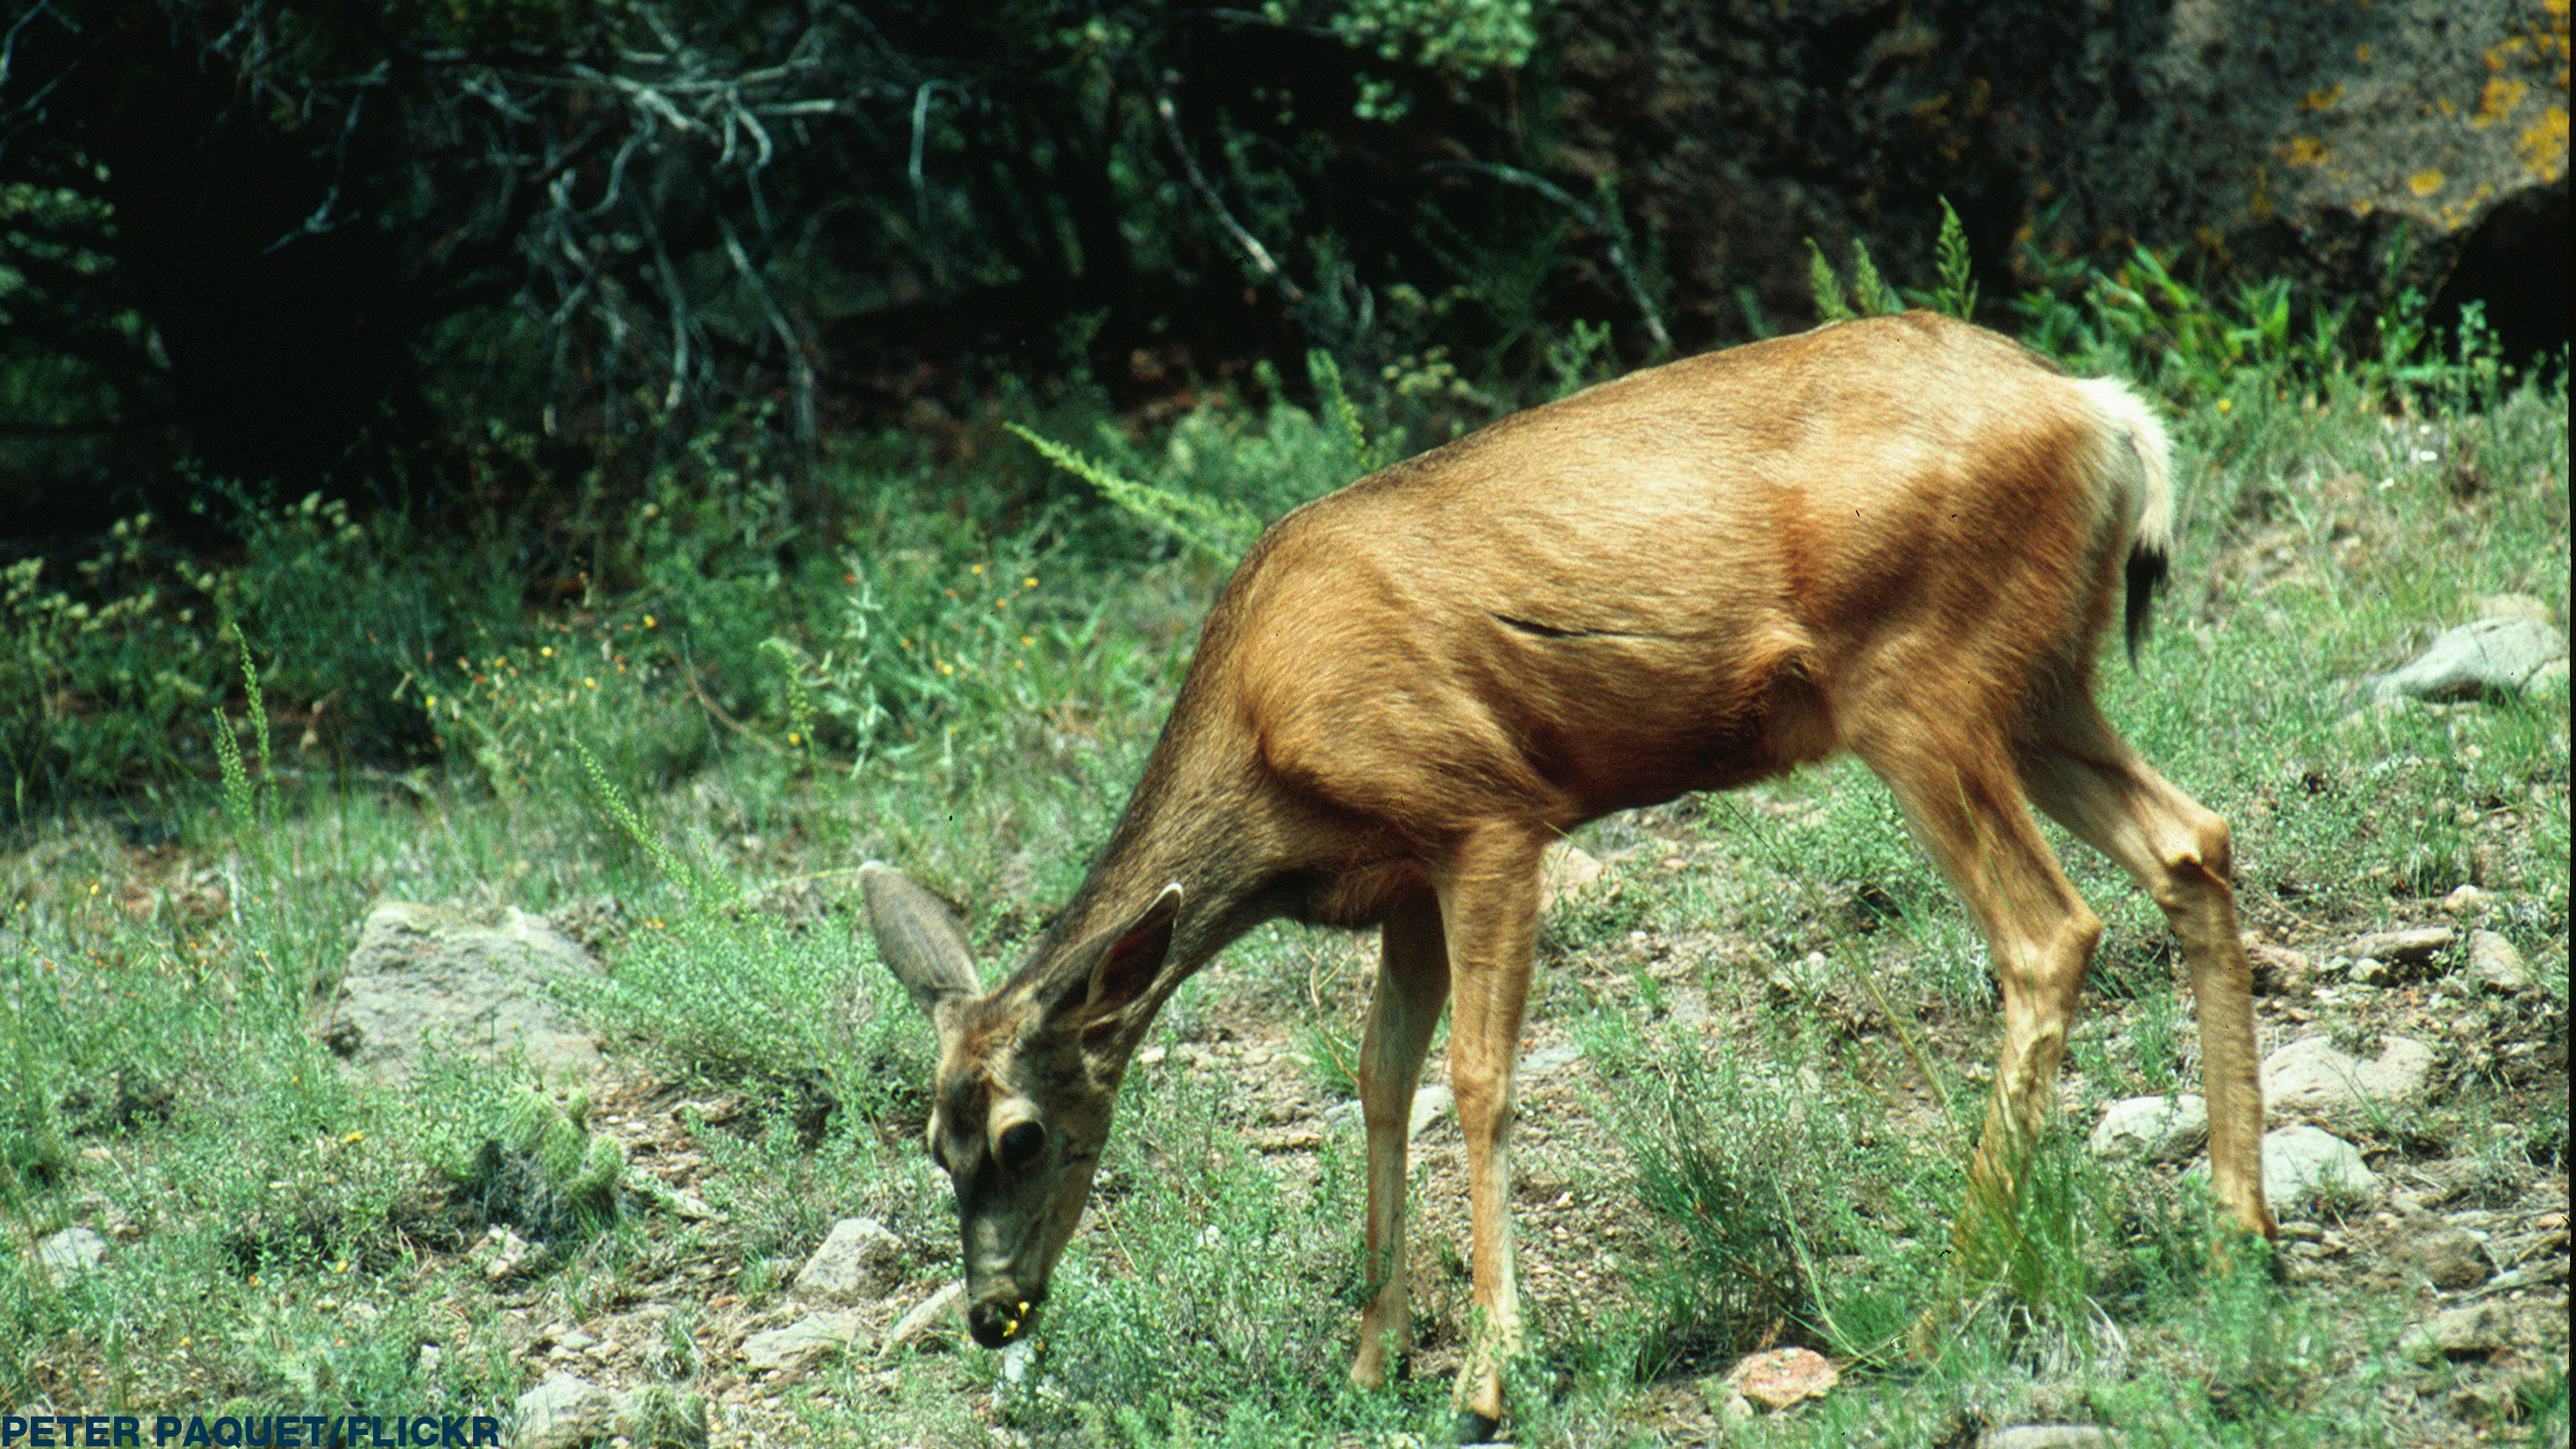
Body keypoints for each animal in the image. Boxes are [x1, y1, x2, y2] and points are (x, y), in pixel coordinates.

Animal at [859, 311, 2276, 1440]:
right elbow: (1380, 1078)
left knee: (2046, 930)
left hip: (1920, 680)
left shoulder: (1483, 812)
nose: (991, 1311)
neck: (1266, 755)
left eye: (1021, 1134)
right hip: (2039, 685)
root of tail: (2101, 412)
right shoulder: (1402, 879)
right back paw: (2235, 1226)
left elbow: (1477, 1078)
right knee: (2189, 841)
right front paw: (1372, 1357)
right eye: (929, 1140)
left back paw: (1947, 1299)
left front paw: (1485, 1377)